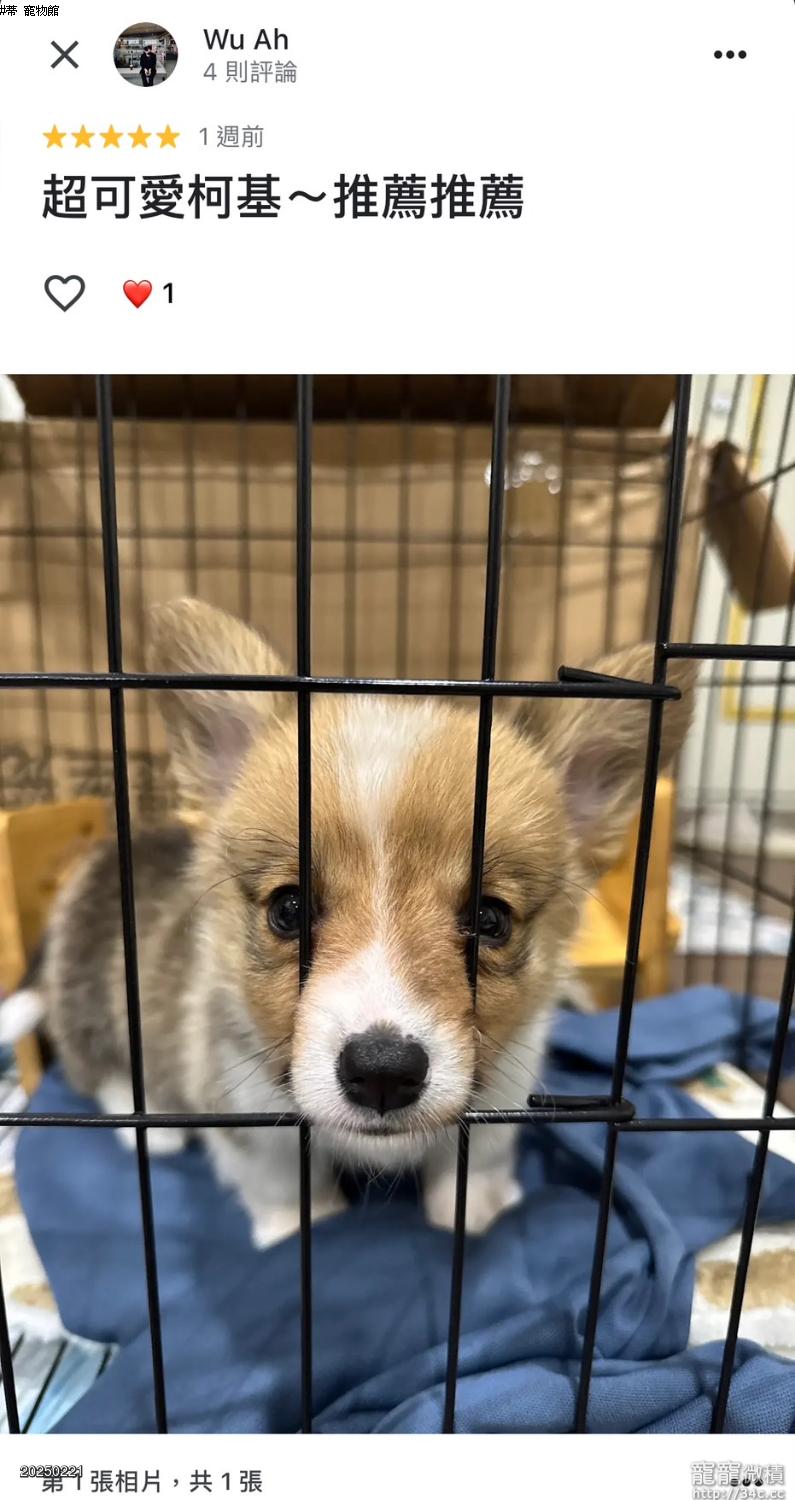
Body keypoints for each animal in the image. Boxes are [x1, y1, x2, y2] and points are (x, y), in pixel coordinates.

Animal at [1, 600, 695, 1246]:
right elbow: (285, 1186)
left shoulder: (498, 1093)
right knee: (99, 1068)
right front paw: (298, 1230)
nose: (383, 1072)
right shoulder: (250, 1116)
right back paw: (149, 1124)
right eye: (288, 909)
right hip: (96, 1006)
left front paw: (476, 1215)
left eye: (490, 919)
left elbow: (470, 1166)